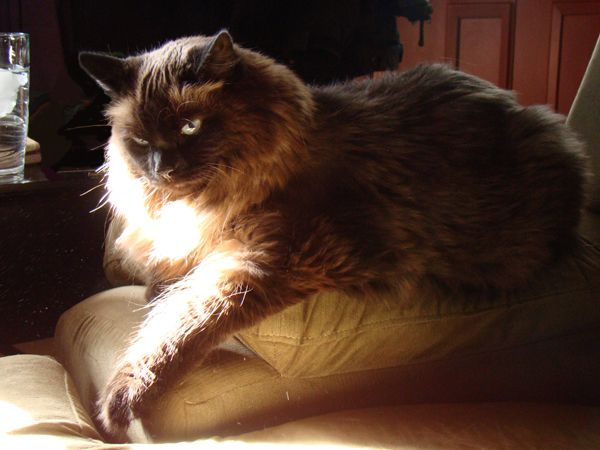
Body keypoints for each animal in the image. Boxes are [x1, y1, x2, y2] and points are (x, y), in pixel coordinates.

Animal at [78, 29, 584, 438]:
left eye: (190, 126)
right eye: (140, 142)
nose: (161, 169)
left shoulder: (266, 262)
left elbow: (180, 323)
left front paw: (122, 399)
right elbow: (160, 290)